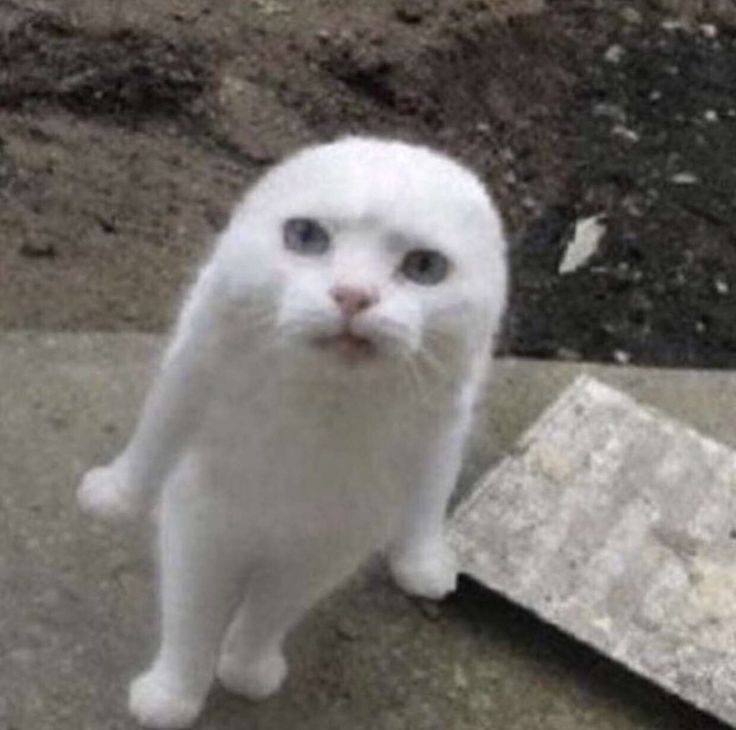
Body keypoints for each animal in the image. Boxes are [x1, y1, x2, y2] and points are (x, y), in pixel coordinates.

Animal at [77, 135, 508, 724]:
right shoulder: (207, 525)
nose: (353, 295)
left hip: (446, 417)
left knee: (428, 494)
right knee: (155, 436)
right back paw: (117, 493)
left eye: (424, 266)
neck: (317, 418)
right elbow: (193, 620)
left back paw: (420, 562)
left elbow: (270, 613)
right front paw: (171, 696)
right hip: (195, 355)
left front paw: (246, 666)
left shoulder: (325, 545)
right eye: (306, 237)